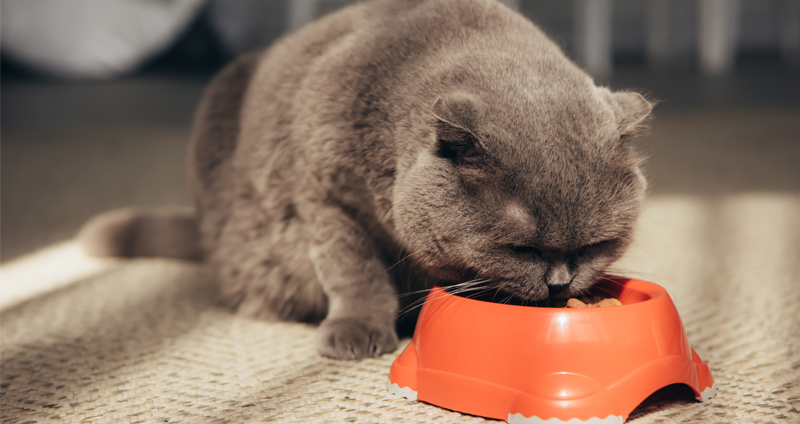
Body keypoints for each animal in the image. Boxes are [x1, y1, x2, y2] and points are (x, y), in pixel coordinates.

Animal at [81, 0, 652, 360]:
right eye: (520, 249)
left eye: (596, 245)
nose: (559, 283)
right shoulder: (326, 199)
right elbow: (355, 272)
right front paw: (357, 331)